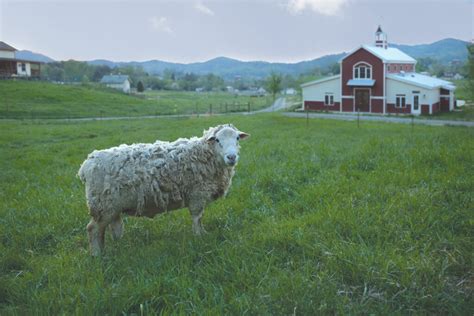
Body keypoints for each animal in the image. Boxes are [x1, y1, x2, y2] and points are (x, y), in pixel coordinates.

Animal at [78, 124, 250, 256]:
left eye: (237, 138)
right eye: (218, 140)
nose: (231, 157)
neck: (204, 154)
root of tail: (85, 166)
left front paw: (201, 234)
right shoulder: (197, 194)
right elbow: (197, 217)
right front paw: (200, 235)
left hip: (113, 206)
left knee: (114, 227)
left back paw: (118, 245)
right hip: (103, 205)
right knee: (93, 229)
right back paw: (97, 254)